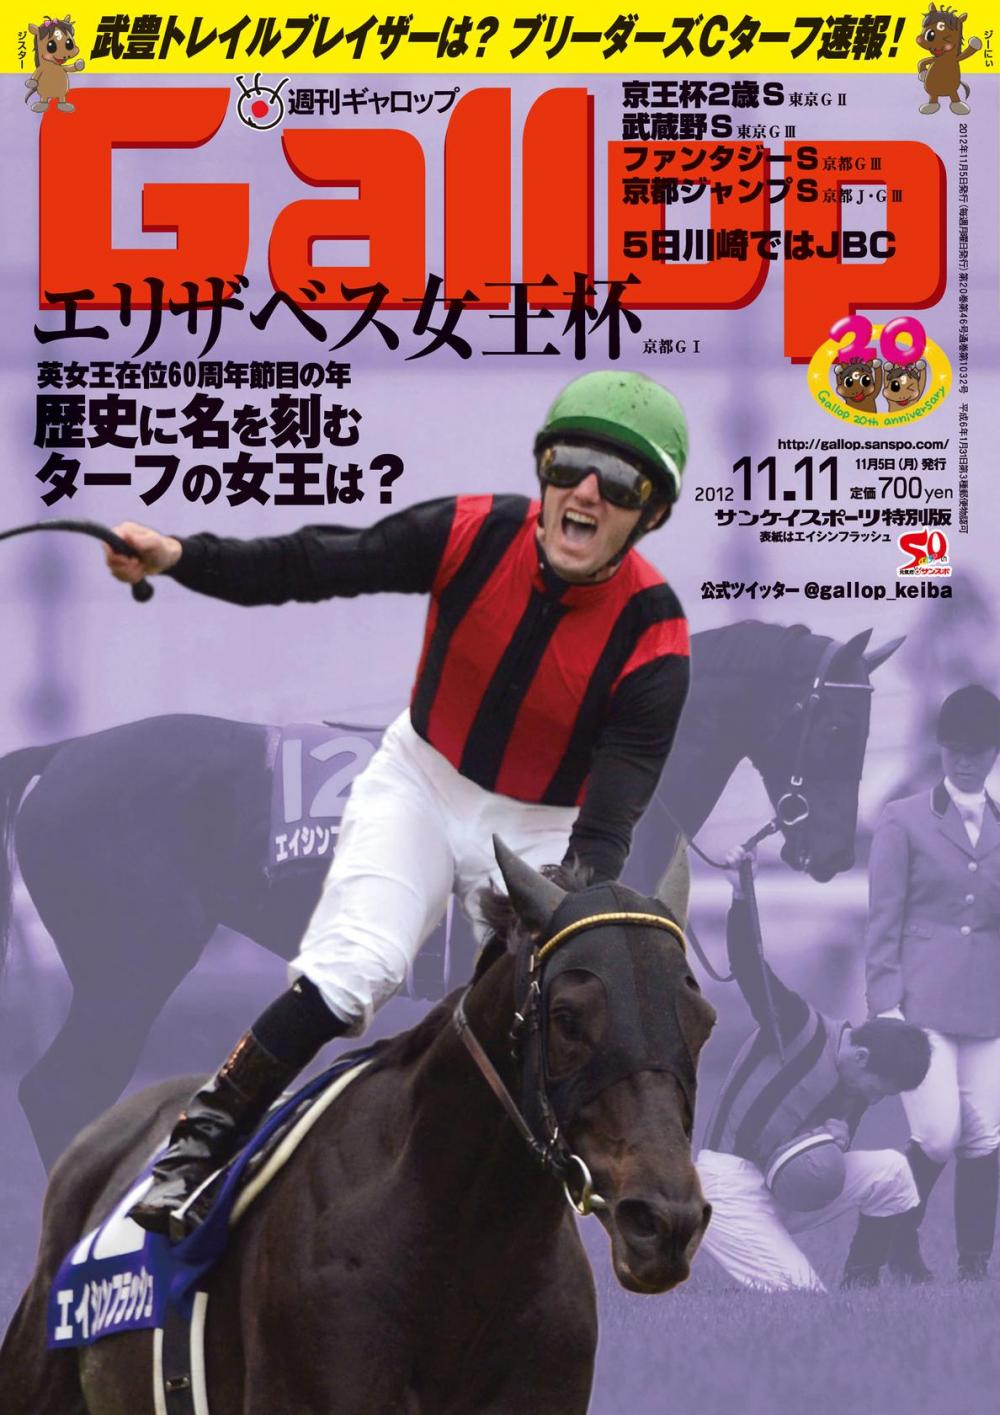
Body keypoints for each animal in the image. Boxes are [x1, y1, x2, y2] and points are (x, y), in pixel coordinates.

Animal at [1, 619, 901, 1167]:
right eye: (832, 727)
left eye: (864, 731)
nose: (832, 851)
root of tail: (65, 753)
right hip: (130, 971)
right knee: (59, 1088)